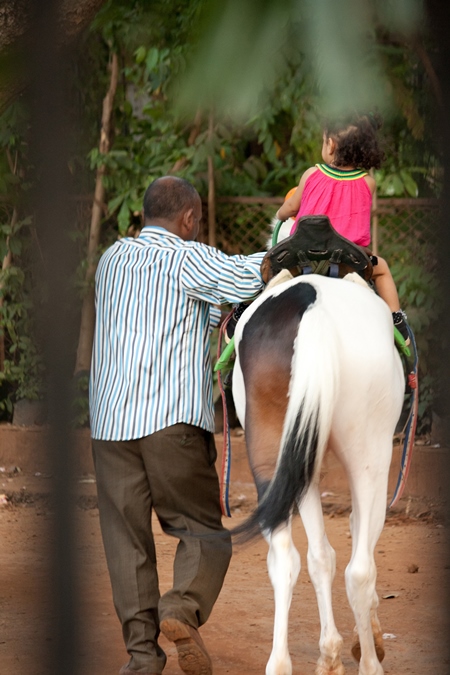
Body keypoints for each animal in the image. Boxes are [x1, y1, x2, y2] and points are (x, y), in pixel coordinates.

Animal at [232, 270, 404, 675]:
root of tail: (311, 303)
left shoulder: (300, 461)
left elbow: (320, 557)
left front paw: (330, 653)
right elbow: (359, 539)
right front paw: (363, 639)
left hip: (271, 451)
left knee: (285, 557)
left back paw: (280, 663)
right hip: (370, 453)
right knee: (359, 570)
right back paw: (370, 663)